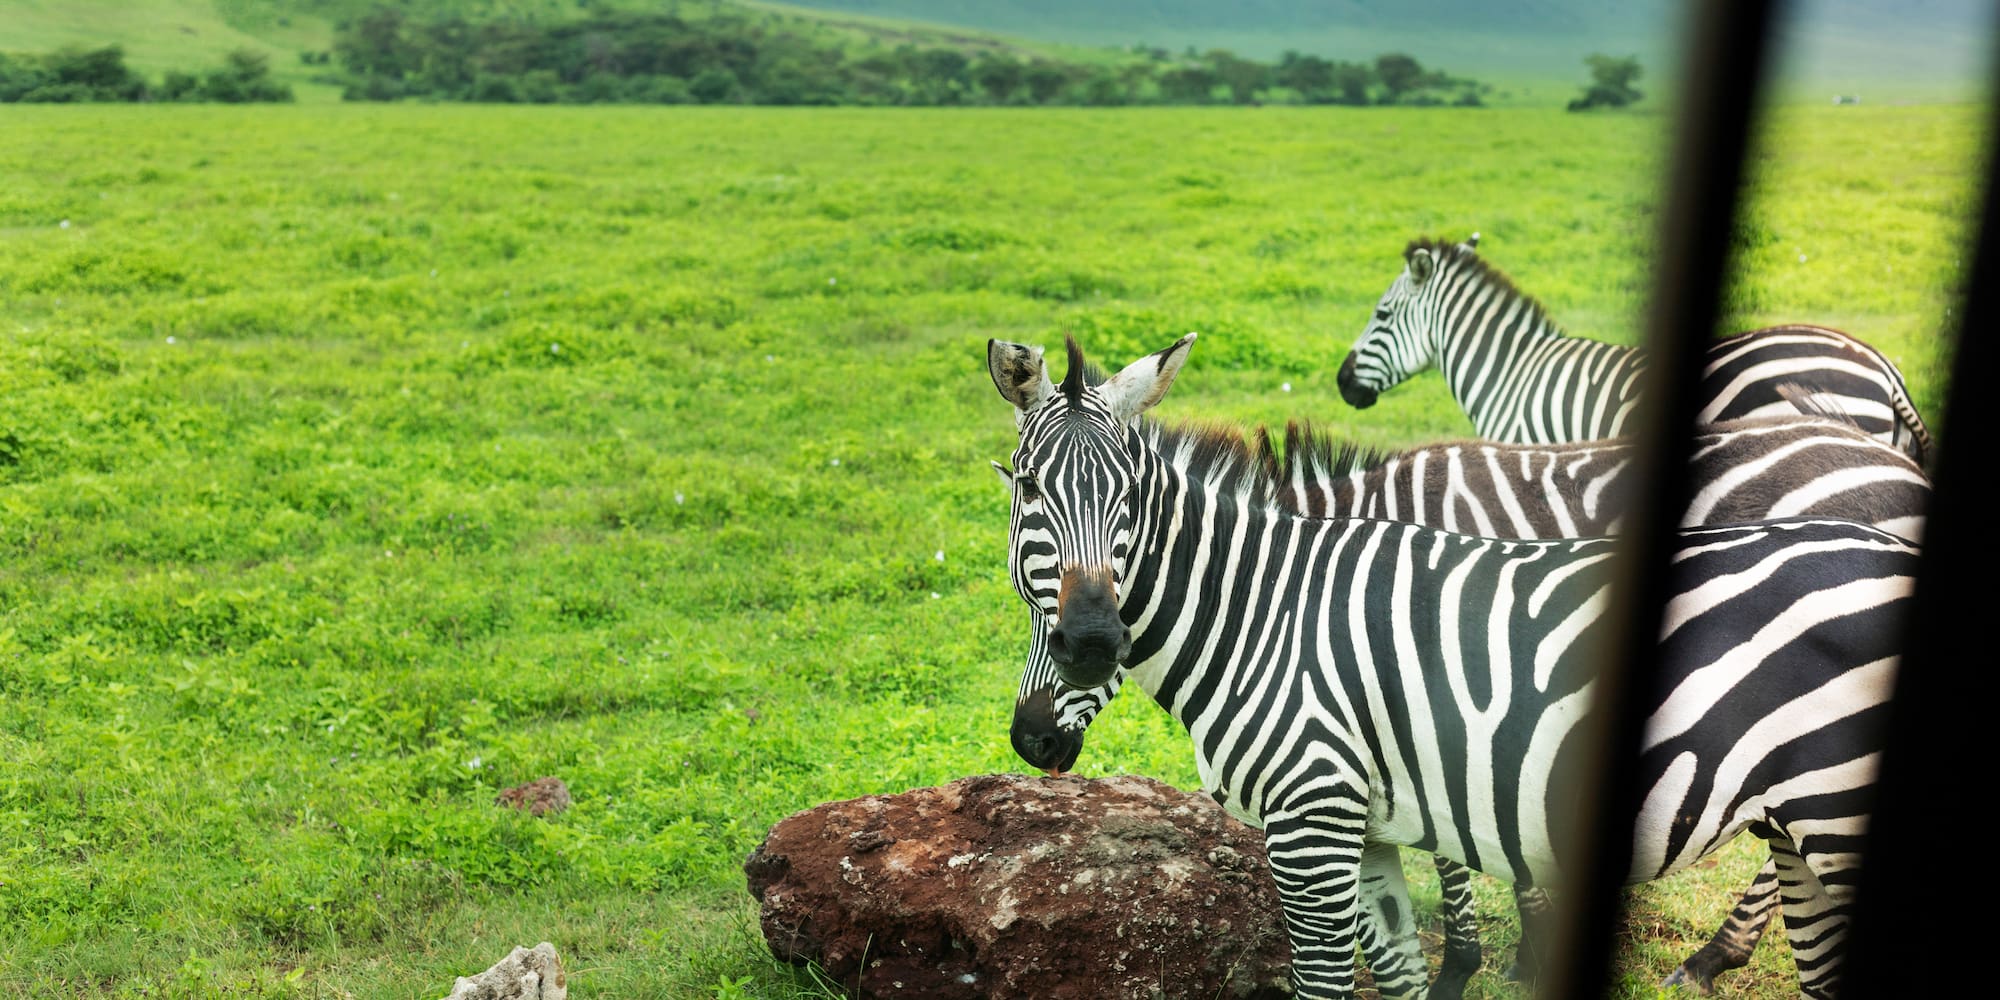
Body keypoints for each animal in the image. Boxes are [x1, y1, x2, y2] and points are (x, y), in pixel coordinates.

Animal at [989, 334, 1916, 1000]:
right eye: (1026, 490)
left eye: (1129, 499)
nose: (1090, 644)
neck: (1272, 610)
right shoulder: (1379, 808)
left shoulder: (1319, 815)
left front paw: (1484, 961)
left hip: (1836, 812)